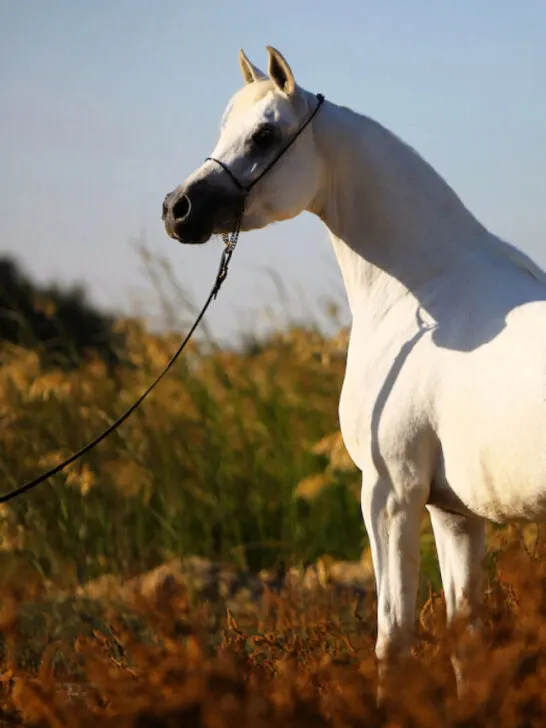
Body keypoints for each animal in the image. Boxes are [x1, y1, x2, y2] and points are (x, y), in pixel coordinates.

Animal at [162, 46, 546, 695]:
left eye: (264, 134)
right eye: (223, 127)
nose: (177, 209)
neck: (427, 286)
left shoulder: (390, 494)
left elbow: (394, 642)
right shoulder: (454, 513)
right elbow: (466, 643)